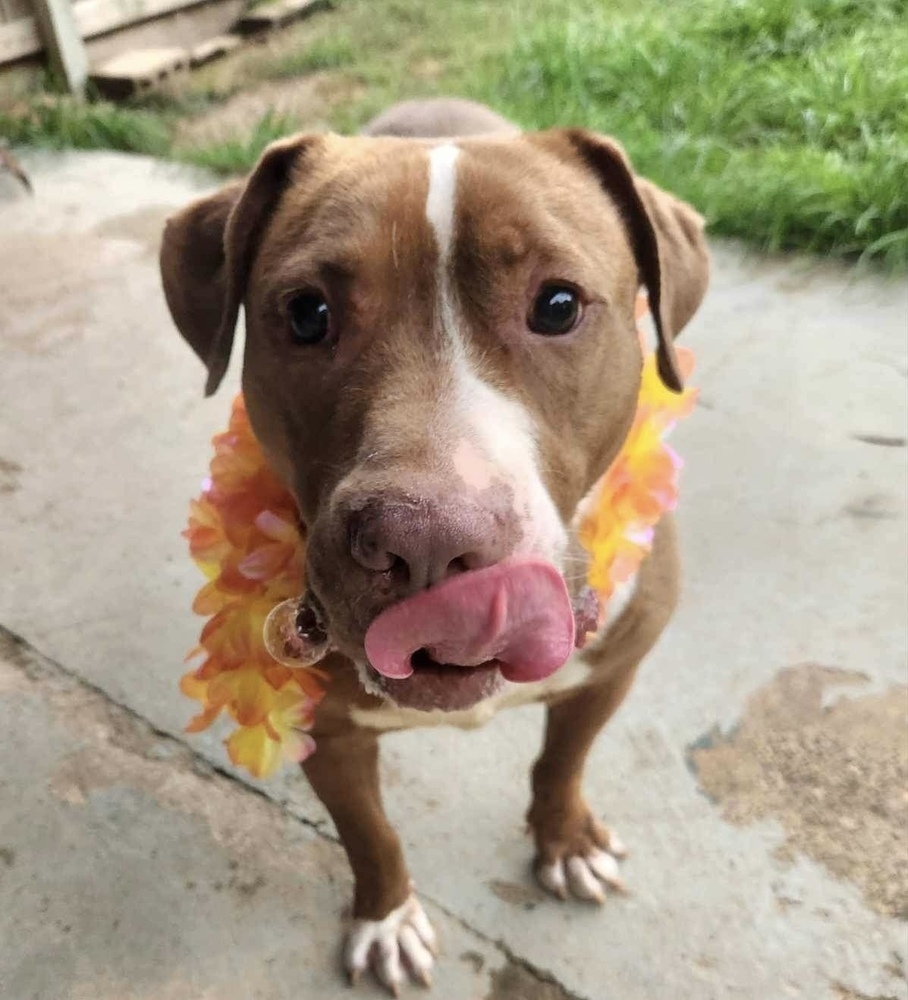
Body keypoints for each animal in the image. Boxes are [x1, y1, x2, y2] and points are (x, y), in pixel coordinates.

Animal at [158, 99, 708, 992]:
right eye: (306, 313)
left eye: (559, 305)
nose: (424, 538)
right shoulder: (329, 736)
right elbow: (370, 834)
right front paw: (386, 919)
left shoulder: (611, 669)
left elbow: (564, 759)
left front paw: (566, 841)